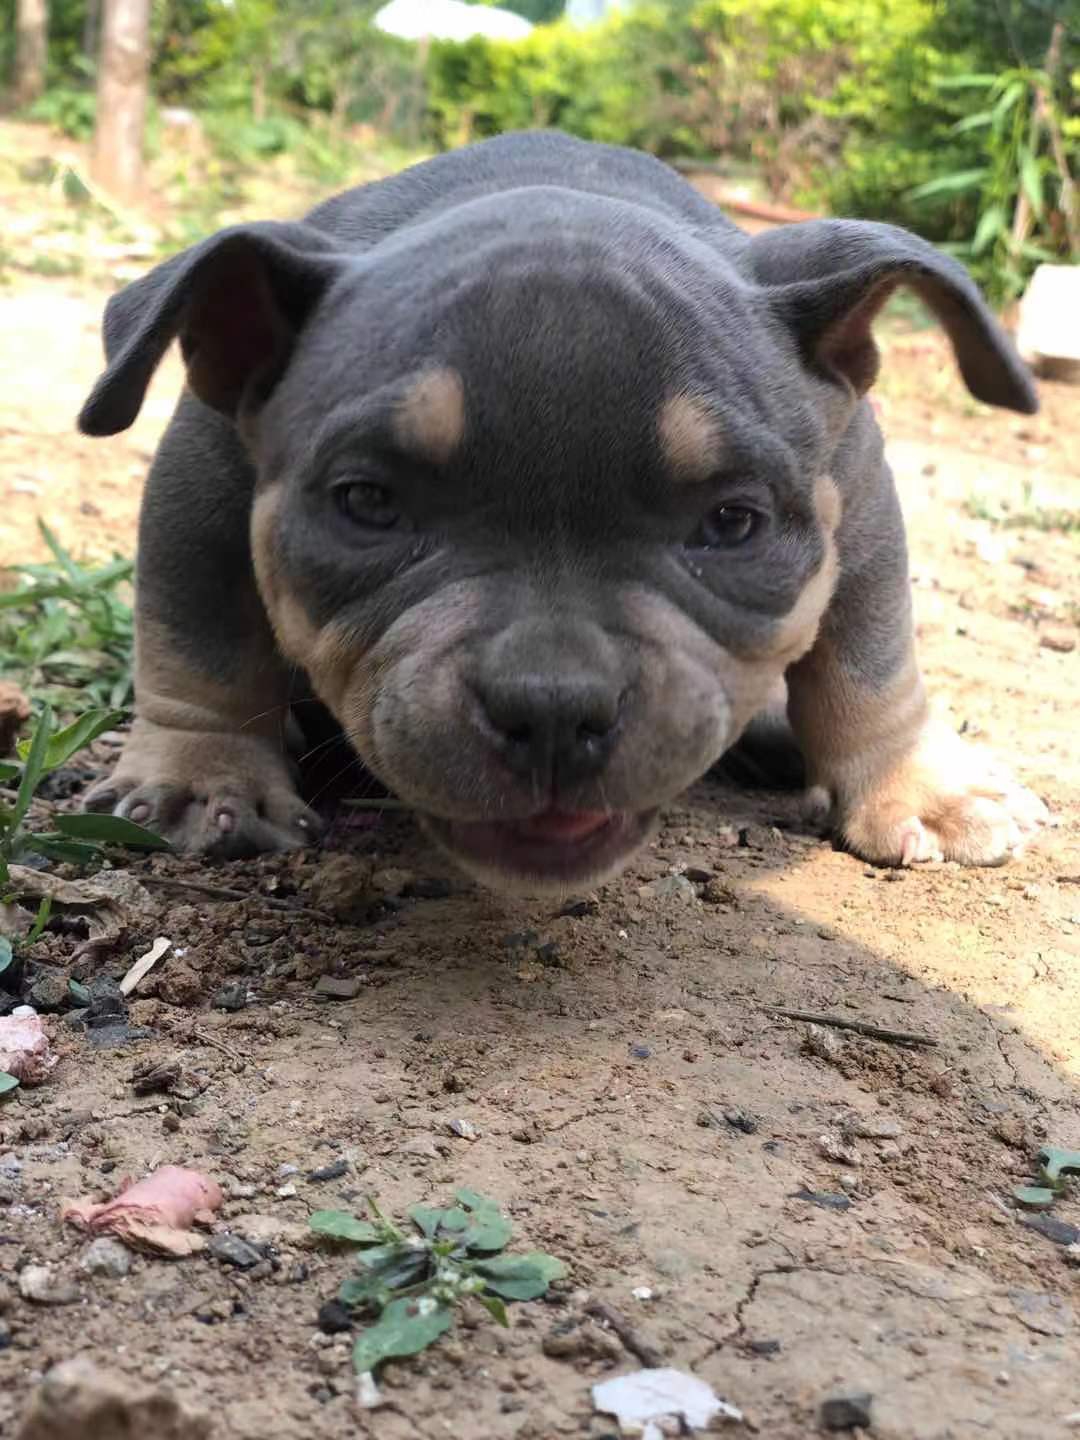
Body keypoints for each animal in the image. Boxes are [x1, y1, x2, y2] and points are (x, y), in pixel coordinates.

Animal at [78, 132, 1048, 887]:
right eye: (368, 504)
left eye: (733, 524)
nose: (551, 709)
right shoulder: (201, 472)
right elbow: (198, 639)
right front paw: (205, 777)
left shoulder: (862, 493)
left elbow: (872, 657)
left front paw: (923, 786)